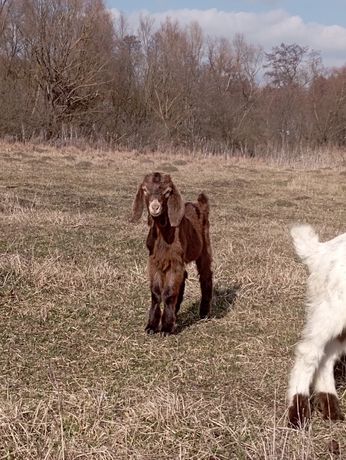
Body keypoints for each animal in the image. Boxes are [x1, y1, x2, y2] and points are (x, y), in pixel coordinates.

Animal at [286, 224, 346, 428]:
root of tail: (322, 250)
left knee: (327, 356)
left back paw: (330, 406)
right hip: (334, 308)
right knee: (309, 351)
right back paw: (298, 414)